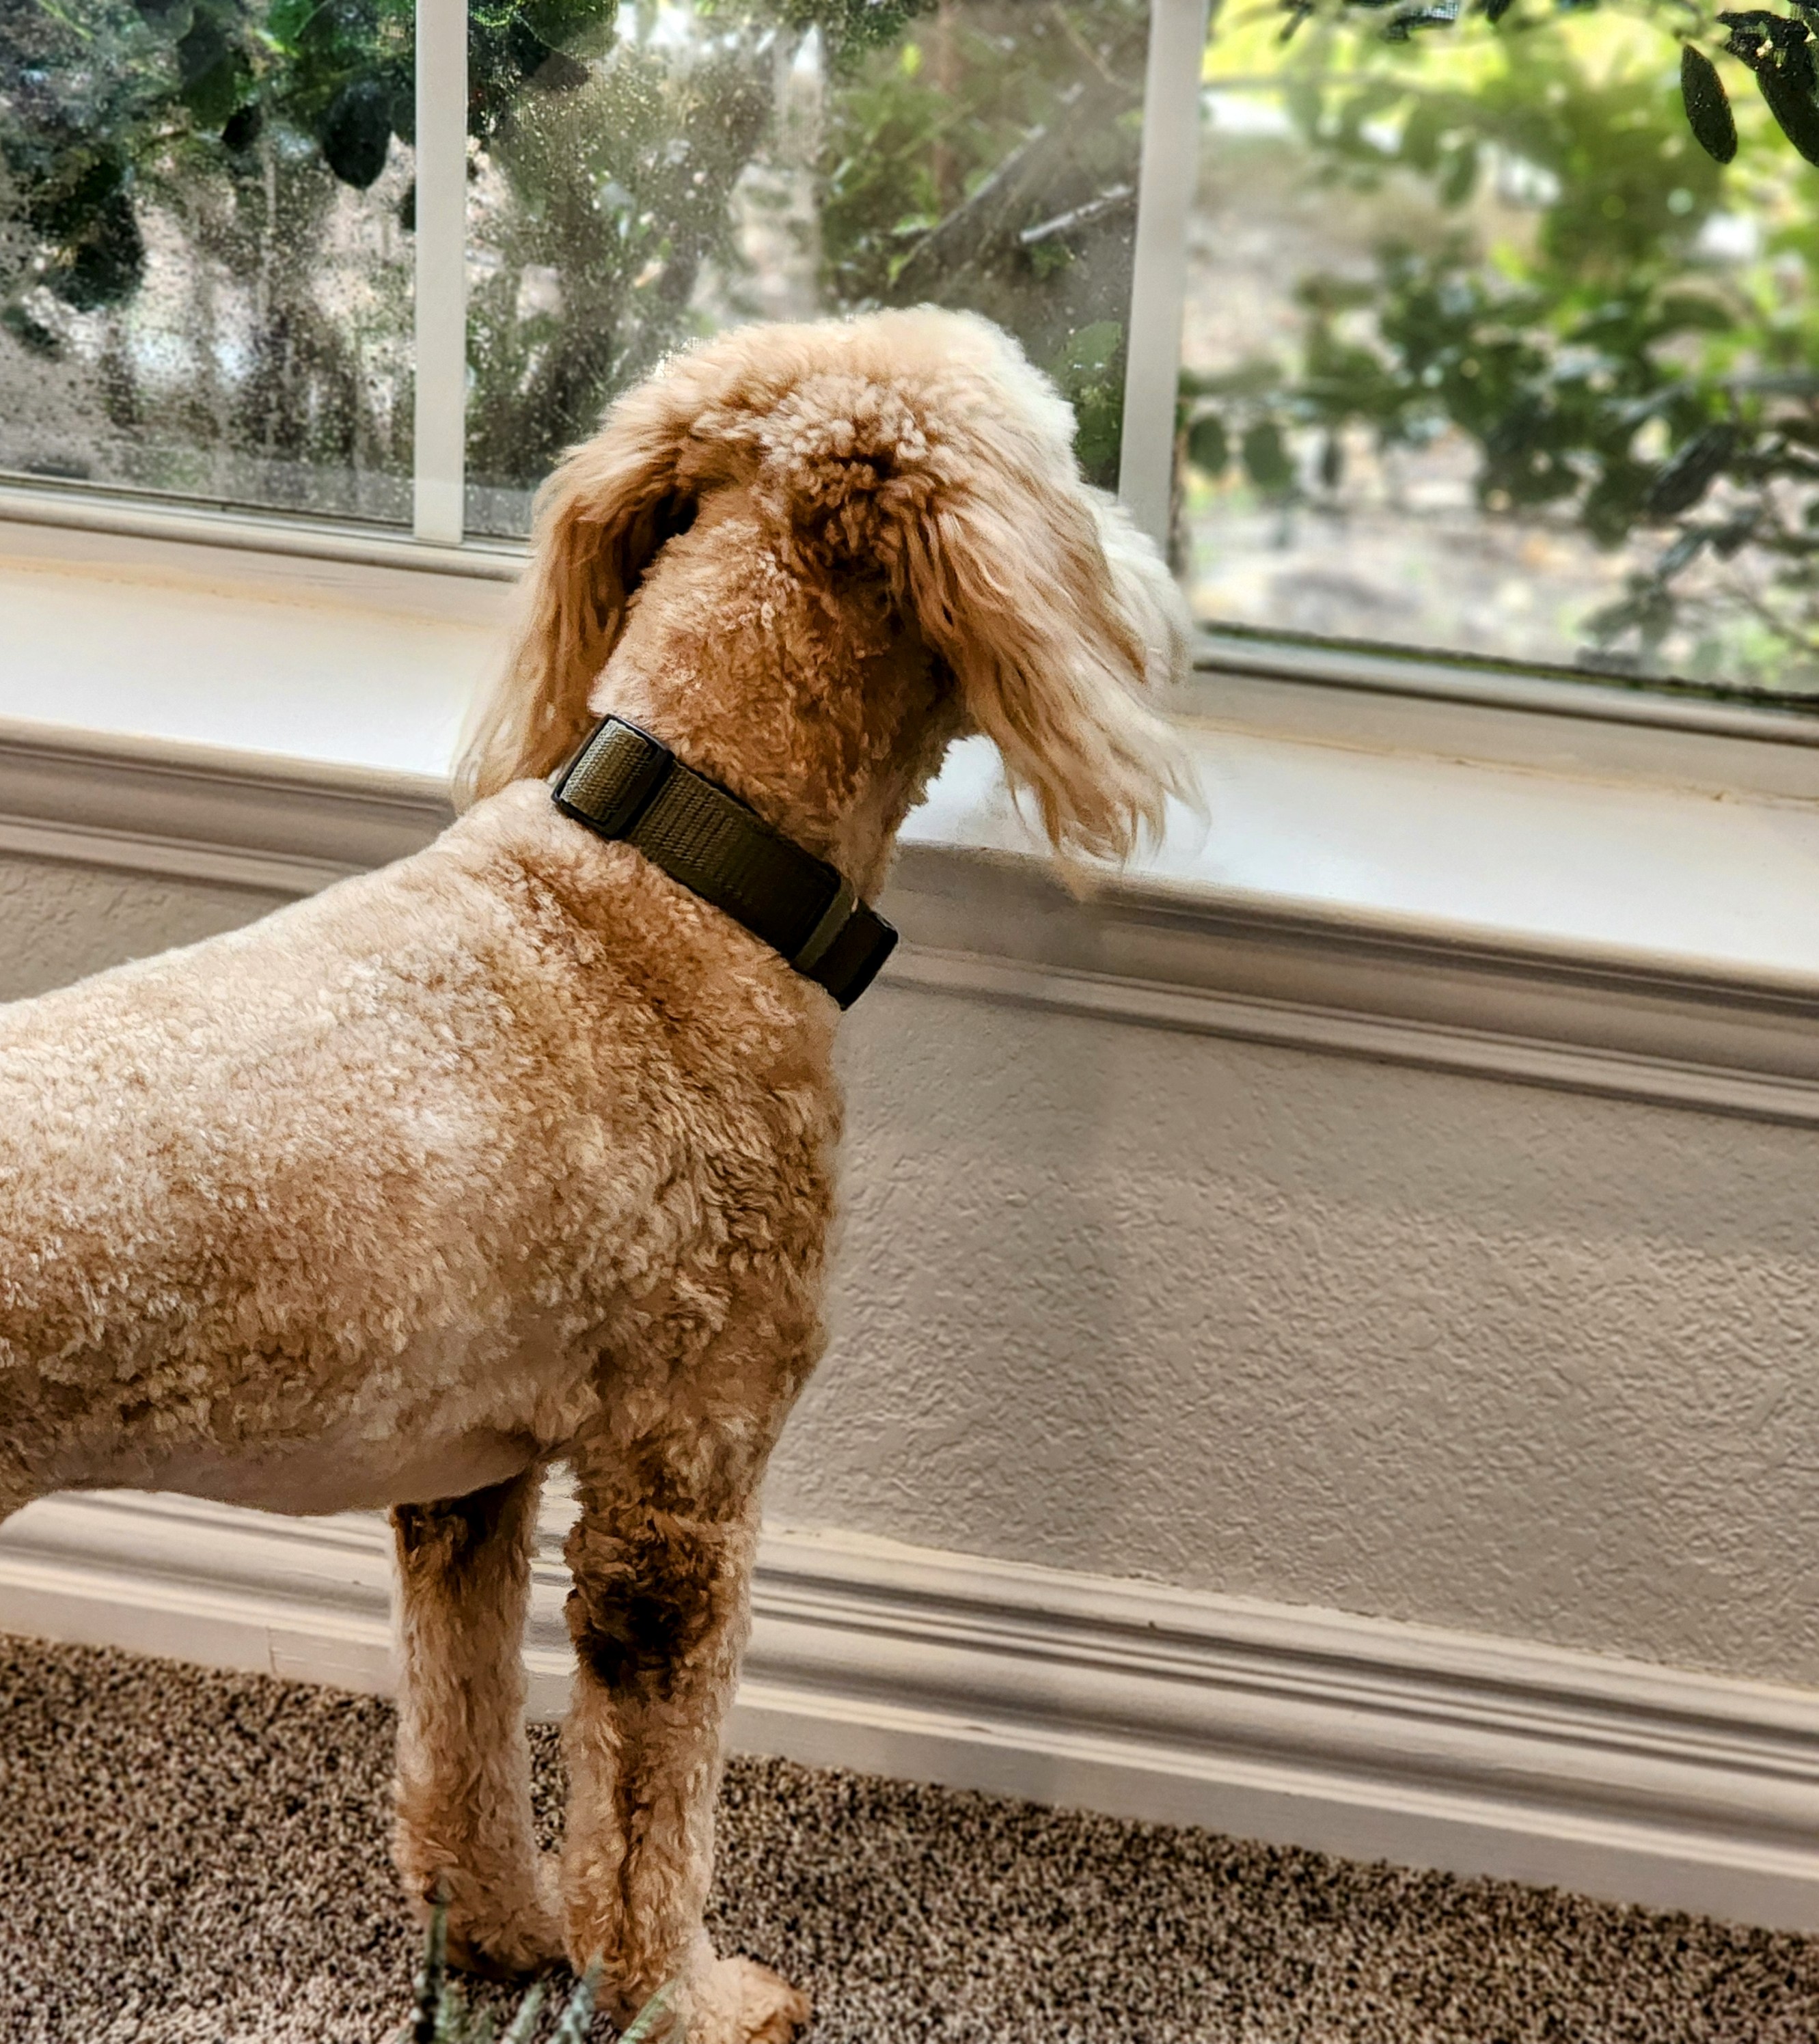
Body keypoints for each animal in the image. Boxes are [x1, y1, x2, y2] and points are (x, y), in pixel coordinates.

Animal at [0, 306, 1190, 2040]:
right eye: (1061, 455)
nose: (1158, 588)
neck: (678, 867)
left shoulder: (464, 1475)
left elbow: (463, 1742)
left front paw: (502, 1935)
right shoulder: (680, 1483)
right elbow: (649, 1821)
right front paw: (684, 1997)